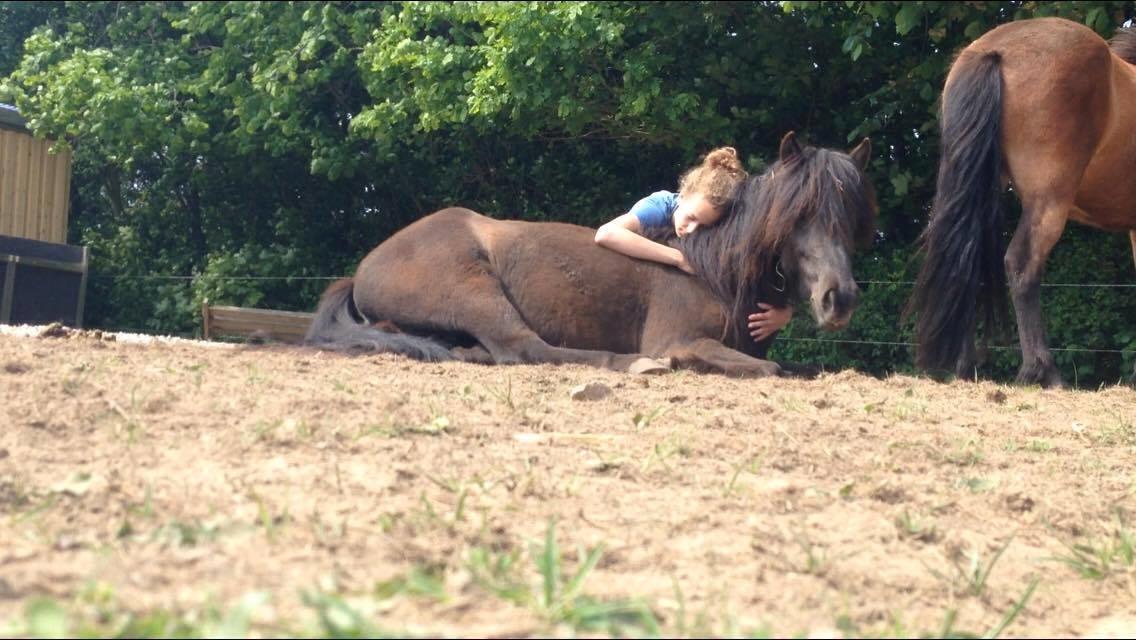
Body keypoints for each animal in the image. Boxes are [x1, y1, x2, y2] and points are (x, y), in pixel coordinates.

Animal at [304, 133, 876, 377]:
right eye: (797, 214)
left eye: (852, 214)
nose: (840, 299)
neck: (714, 271)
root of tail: (365, 267)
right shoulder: (683, 339)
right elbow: (771, 369)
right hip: (474, 292)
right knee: (525, 348)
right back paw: (635, 364)